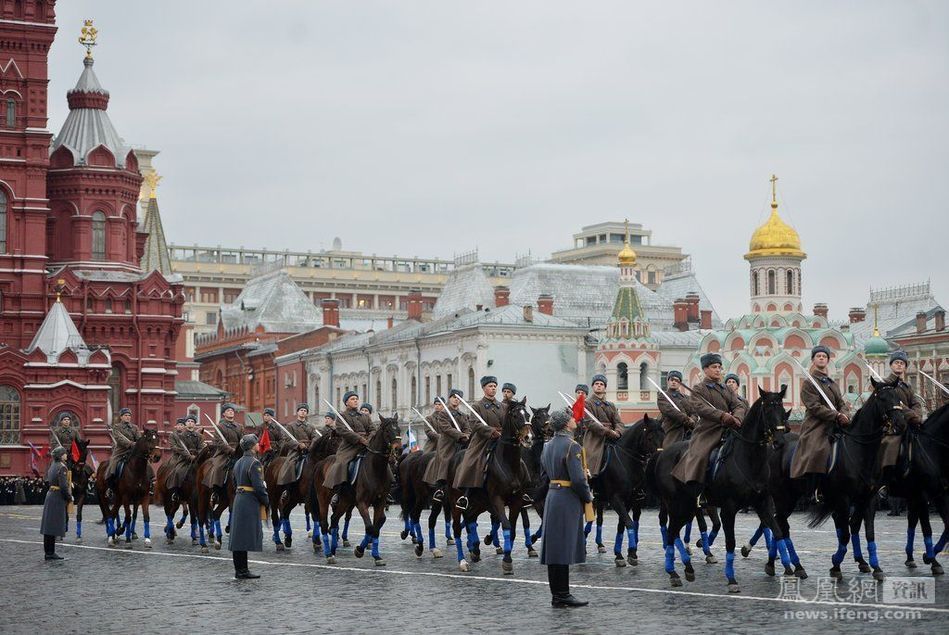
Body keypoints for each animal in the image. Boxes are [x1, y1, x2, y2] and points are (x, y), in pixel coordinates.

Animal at [648, 386, 788, 592]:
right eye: (768, 410)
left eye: (783, 410)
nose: (780, 441)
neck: (749, 459)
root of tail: (663, 453)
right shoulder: (728, 509)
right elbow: (730, 543)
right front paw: (731, 579)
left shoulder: (763, 504)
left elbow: (777, 533)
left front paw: (789, 566)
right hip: (676, 505)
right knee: (671, 532)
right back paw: (673, 572)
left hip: (687, 507)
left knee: (674, 532)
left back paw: (686, 568)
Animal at [808, 378, 904, 580]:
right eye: (882, 398)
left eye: (897, 397)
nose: (901, 422)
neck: (860, 452)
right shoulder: (844, 498)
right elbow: (847, 532)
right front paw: (836, 564)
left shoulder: (868, 498)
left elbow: (865, 530)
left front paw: (874, 566)